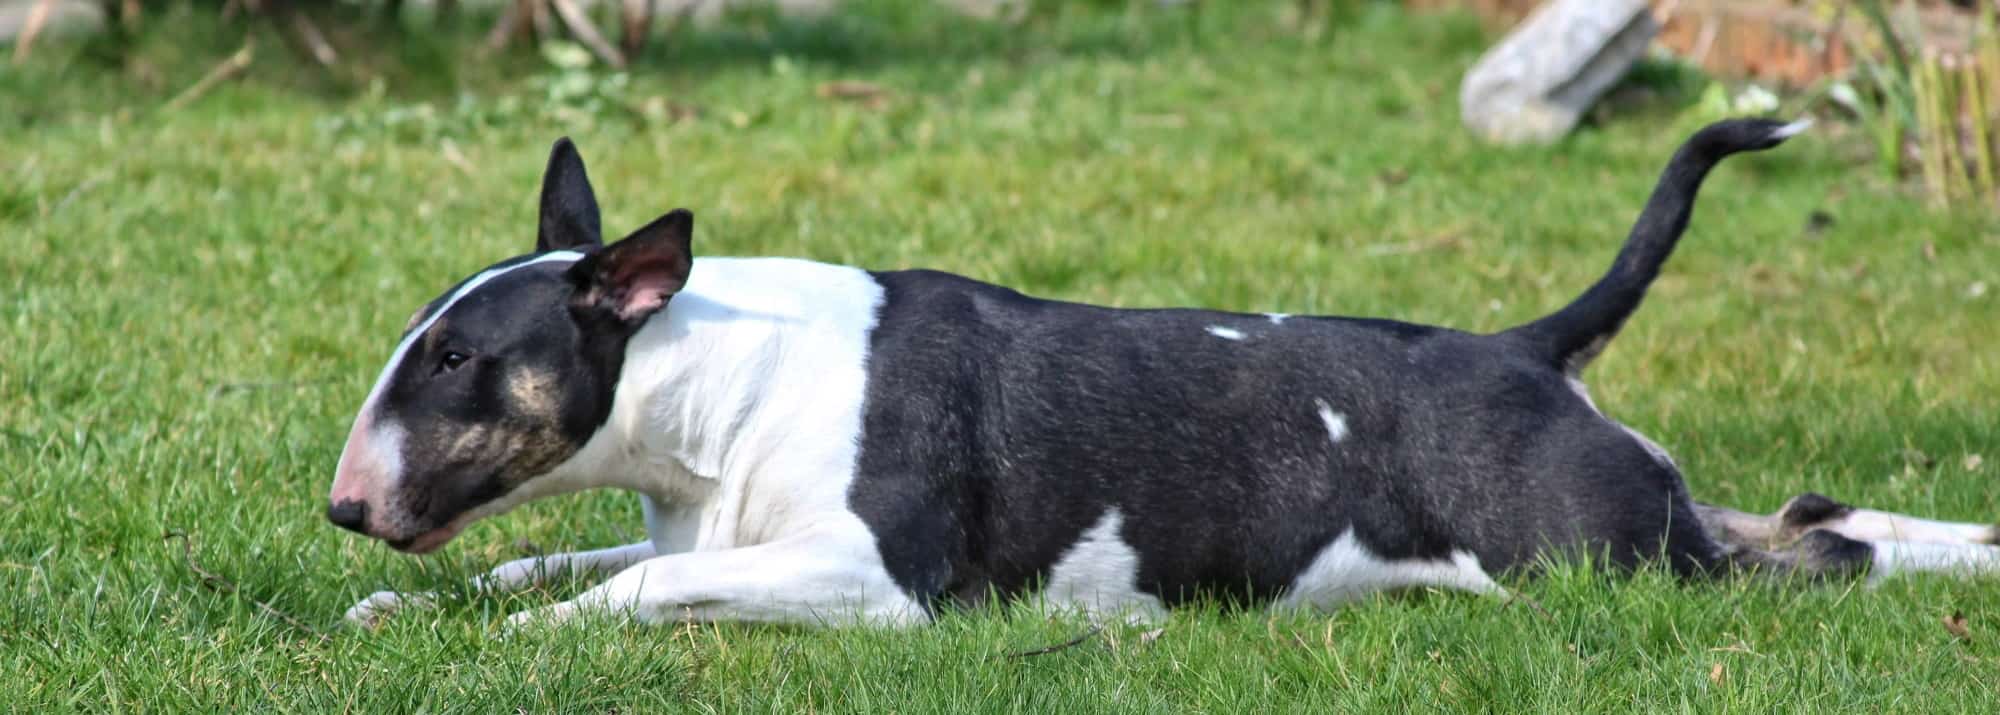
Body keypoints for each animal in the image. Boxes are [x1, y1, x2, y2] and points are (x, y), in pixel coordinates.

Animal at [328, 120, 2000, 627]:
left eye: (462, 356)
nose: (342, 510)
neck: (712, 383)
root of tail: (1525, 349)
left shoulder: (875, 578)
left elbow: (634, 587)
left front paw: (519, 634)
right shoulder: (709, 521)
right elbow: (565, 551)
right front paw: (417, 603)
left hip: (1603, 552)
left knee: (1825, 551)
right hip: (1650, 522)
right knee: (1817, 510)